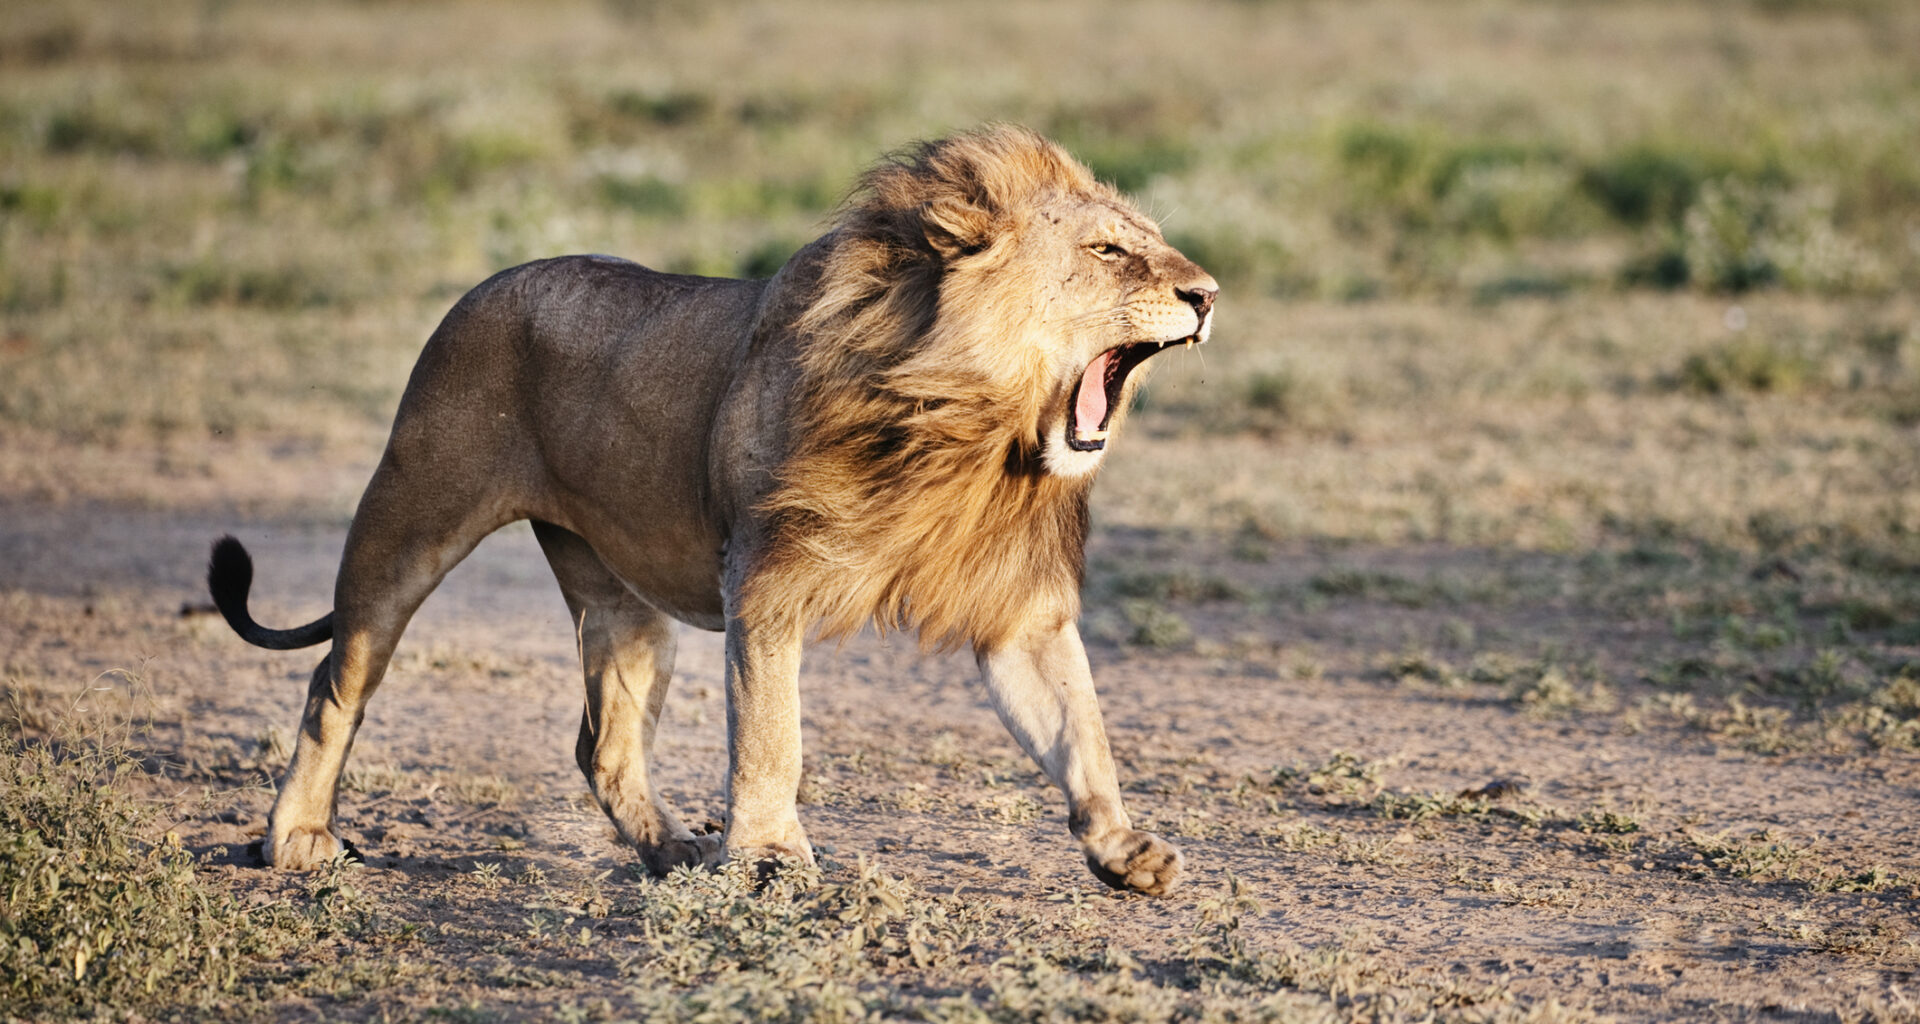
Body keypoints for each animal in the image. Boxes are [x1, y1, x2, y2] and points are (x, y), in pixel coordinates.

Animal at [208, 125, 1217, 896]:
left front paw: (1122, 849)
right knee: (335, 682)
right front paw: (768, 857)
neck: (965, 432)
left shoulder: (1020, 612)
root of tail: (488, 282)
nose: (1207, 295)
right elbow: (772, 739)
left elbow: (1080, 730)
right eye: (1107, 252)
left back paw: (672, 853)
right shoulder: (766, 583)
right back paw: (294, 839)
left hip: (621, 601)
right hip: (408, 520)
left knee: (605, 746)